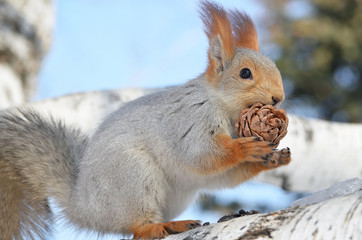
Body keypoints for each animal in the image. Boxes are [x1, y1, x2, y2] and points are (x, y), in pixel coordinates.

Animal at [0, 0, 292, 239]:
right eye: (245, 73)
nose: (278, 97)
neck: (224, 107)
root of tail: (82, 206)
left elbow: (222, 176)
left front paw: (274, 158)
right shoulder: (191, 120)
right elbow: (201, 154)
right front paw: (244, 147)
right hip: (132, 176)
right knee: (136, 227)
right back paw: (160, 226)